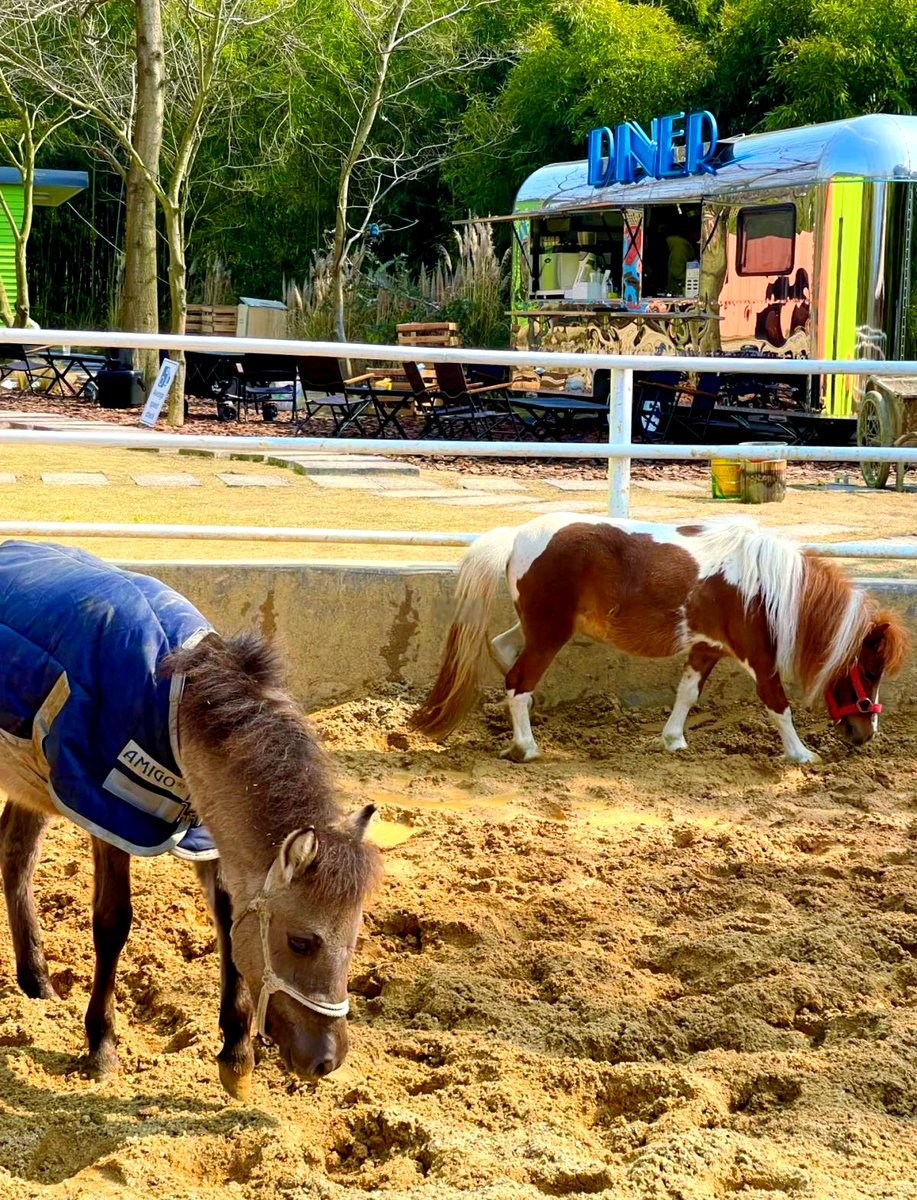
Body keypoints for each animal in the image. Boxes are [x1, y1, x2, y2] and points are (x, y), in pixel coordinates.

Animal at [0, 541, 381, 1099]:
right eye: (301, 941)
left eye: (354, 940)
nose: (326, 1060)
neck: (176, 696)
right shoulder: (108, 810)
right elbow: (113, 921)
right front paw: (102, 1046)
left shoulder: (209, 831)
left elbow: (227, 918)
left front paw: (237, 1056)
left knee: (15, 857)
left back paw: (38, 984)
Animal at [413, 514, 910, 764]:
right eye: (869, 671)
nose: (864, 734)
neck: (764, 583)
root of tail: (517, 536)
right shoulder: (756, 654)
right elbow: (777, 704)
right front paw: (802, 754)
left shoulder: (708, 647)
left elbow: (687, 694)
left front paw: (673, 741)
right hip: (550, 634)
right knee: (518, 682)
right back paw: (526, 747)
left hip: (539, 628)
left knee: (502, 651)